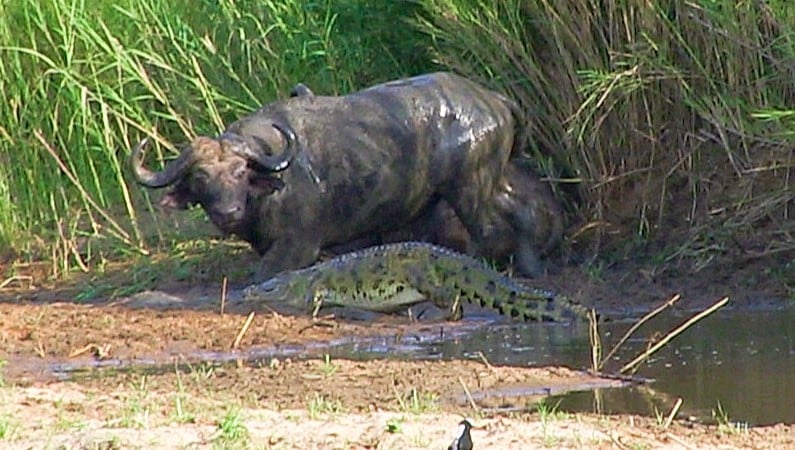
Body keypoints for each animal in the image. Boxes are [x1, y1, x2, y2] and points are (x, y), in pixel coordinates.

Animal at [132, 72, 518, 278]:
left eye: (240, 171)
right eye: (200, 179)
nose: (228, 213)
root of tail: (492, 99)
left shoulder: (299, 246)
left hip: (471, 188)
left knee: (491, 231)